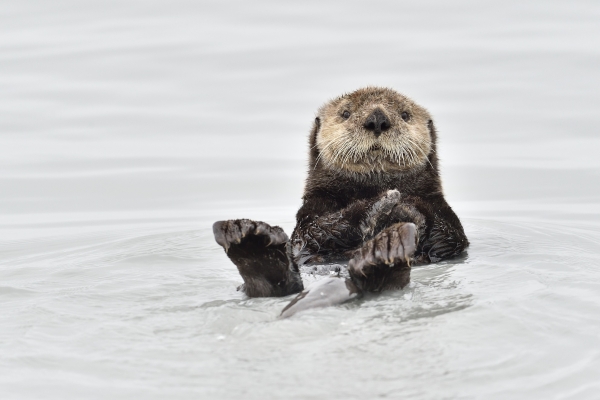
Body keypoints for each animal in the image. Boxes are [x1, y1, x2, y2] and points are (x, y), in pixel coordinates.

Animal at [212, 86, 468, 316]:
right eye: (346, 113)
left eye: (405, 114)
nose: (377, 119)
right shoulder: (310, 214)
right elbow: (317, 231)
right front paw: (384, 204)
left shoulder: (444, 214)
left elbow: (449, 237)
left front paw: (408, 208)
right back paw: (251, 242)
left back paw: (383, 253)